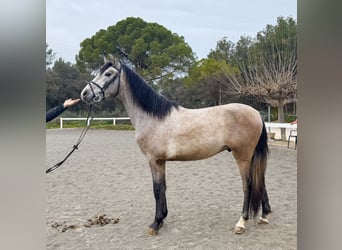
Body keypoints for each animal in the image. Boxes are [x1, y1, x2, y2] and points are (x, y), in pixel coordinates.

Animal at [81, 58, 272, 234]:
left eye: (108, 74)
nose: (85, 94)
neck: (153, 117)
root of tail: (256, 113)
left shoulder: (153, 160)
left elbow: (157, 189)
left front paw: (155, 223)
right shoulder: (161, 161)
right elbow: (163, 187)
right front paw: (162, 218)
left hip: (242, 156)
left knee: (248, 184)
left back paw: (241, 222)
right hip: (251, 156)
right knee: (260, 181)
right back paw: (264, 216)